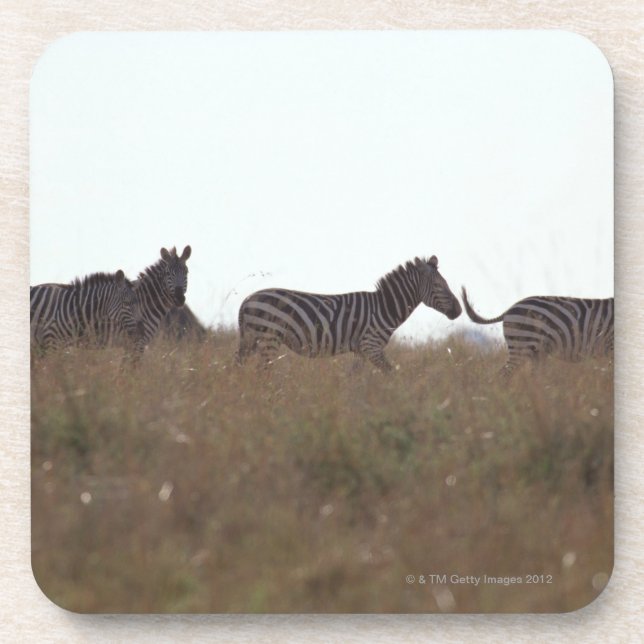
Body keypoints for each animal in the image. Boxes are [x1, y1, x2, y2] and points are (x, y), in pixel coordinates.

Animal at [236, 256, 462, 371]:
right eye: (439, 286)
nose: (459, 310)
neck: (385, 308)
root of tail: (247, 300)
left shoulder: (361, 351)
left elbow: (355, 379)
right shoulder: (371, 346)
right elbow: (392, 373)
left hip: (252, 340)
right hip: (269, 337)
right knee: (263, 372)